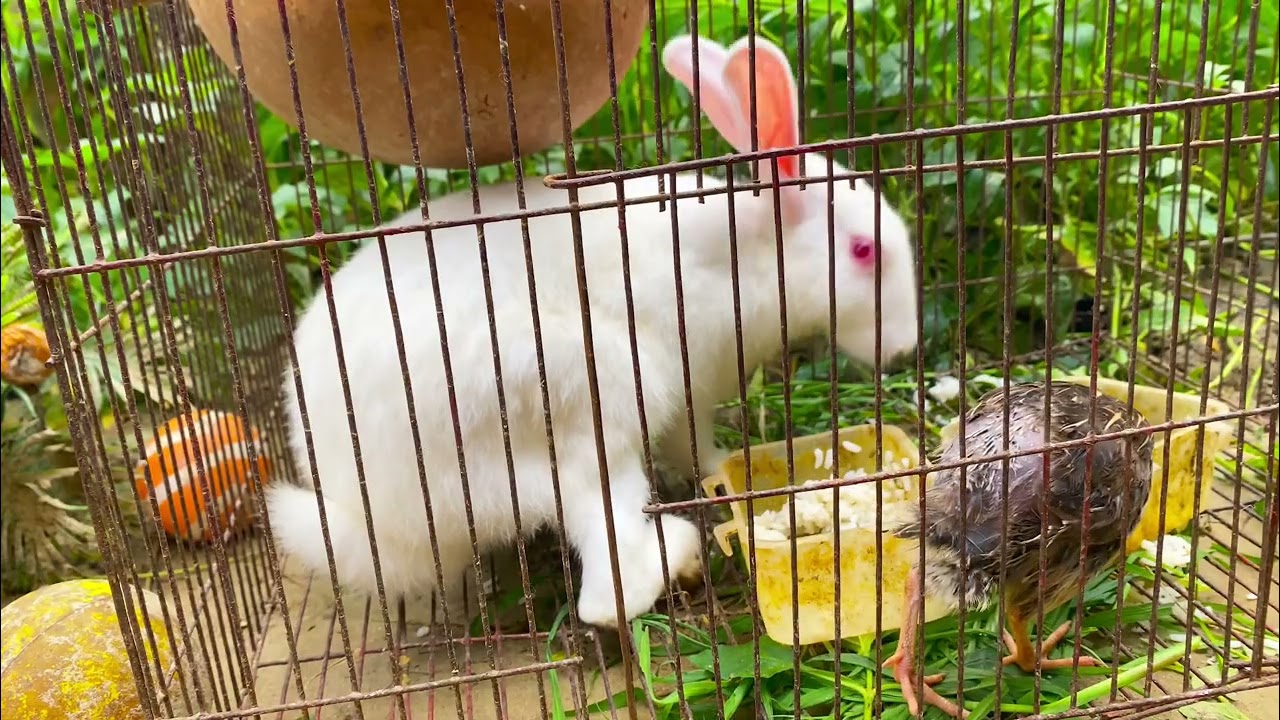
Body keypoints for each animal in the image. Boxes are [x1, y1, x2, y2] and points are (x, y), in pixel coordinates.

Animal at [265, 32, 919, 629]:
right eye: (864, 251)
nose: (905, 344)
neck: (745, 256)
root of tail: (377, 517)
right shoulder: (687, 390)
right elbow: (695, 448)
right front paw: (728, 476)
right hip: (591, 406)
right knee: (607, 584)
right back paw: (676, 556)